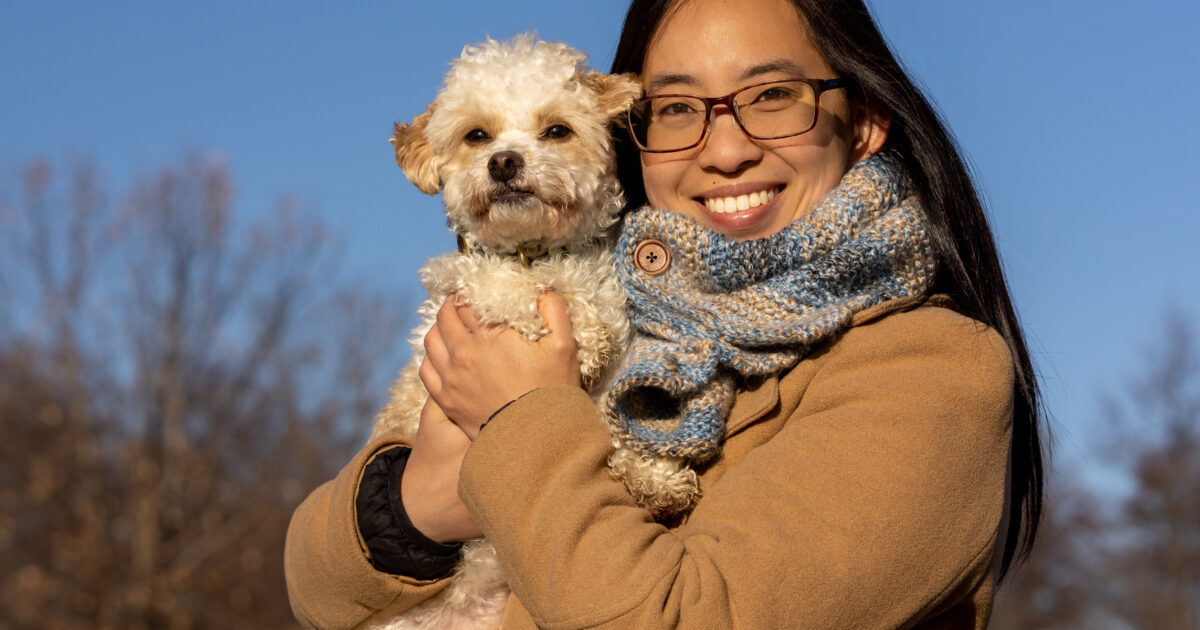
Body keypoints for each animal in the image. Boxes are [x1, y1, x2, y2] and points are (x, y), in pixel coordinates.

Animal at [372, 35, 696, 628]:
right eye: (477, 136)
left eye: (557, 131)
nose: (504, 162)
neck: (540, 252)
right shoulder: (460, 286)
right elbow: (511, 288)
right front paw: (583, 333)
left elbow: (611, 426)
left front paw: (652, 475)